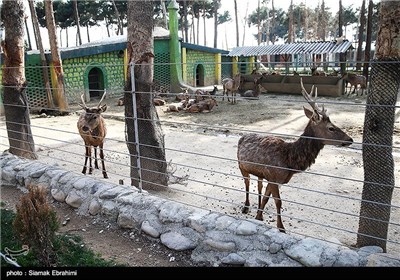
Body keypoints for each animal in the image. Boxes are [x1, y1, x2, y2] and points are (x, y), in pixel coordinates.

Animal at [238, 78, 354, 232]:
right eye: (331, 128)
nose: (350, 139)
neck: (289, 160)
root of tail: (242, 136)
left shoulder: (273, 179)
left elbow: (266, 199)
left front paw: (259, 217)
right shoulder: (274, 177)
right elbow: (278, 202)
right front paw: (281, 228)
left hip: (259, 174)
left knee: (259, 186)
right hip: (241, 167)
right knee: (246, 183)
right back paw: (246, 207)